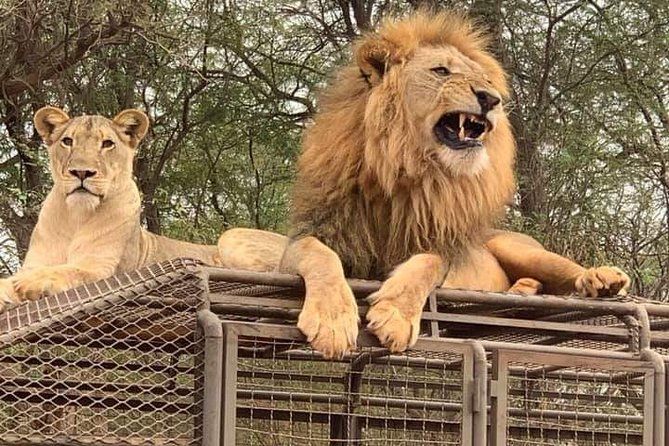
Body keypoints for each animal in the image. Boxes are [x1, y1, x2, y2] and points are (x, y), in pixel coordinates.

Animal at [0, 107, 220, 310]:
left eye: (107, 144)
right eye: (68, 141)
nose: (81, 172)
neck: (77, 216)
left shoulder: (103, 268)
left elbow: (73, 271)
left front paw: (34, 281)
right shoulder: (34, 263)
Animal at [219, 11, 630, 358]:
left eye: (485, 80)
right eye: (441, 71)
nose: (491, 99)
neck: (406, 166)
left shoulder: (437, 245)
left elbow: (427, 265)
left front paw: (395, 317)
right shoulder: (312, 237)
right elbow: (320, 257)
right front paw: (333, 321)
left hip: (517, 247)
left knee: (566, 274)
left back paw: (601, 279)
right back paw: (522, 289)